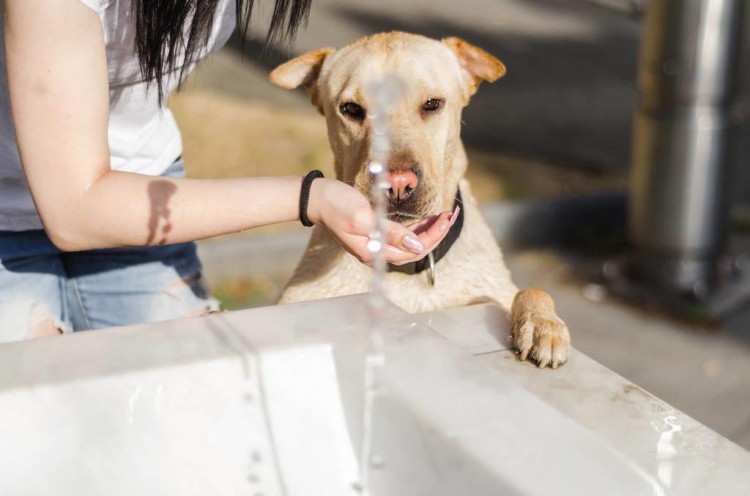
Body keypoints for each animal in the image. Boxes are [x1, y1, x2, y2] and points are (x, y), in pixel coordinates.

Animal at [270, 30, 568, 364]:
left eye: (432, 104)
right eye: (351, 109)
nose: (398, 184)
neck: (405, 274)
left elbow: (532, 290)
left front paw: (543, 325)